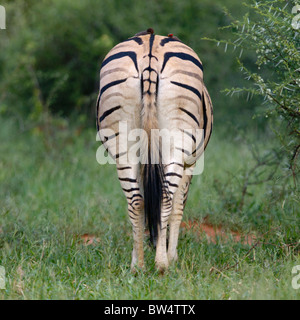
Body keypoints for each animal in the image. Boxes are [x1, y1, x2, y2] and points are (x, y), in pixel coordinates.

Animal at [96, 28, 213, 272]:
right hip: (177, 143)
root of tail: (151, 45)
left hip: (123, 146)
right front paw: (173, 256)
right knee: (166, 198)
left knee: (136, 201)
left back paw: (138, 266)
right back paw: (162, 264)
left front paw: (137, 254)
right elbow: (178, 208)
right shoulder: (190, 163)